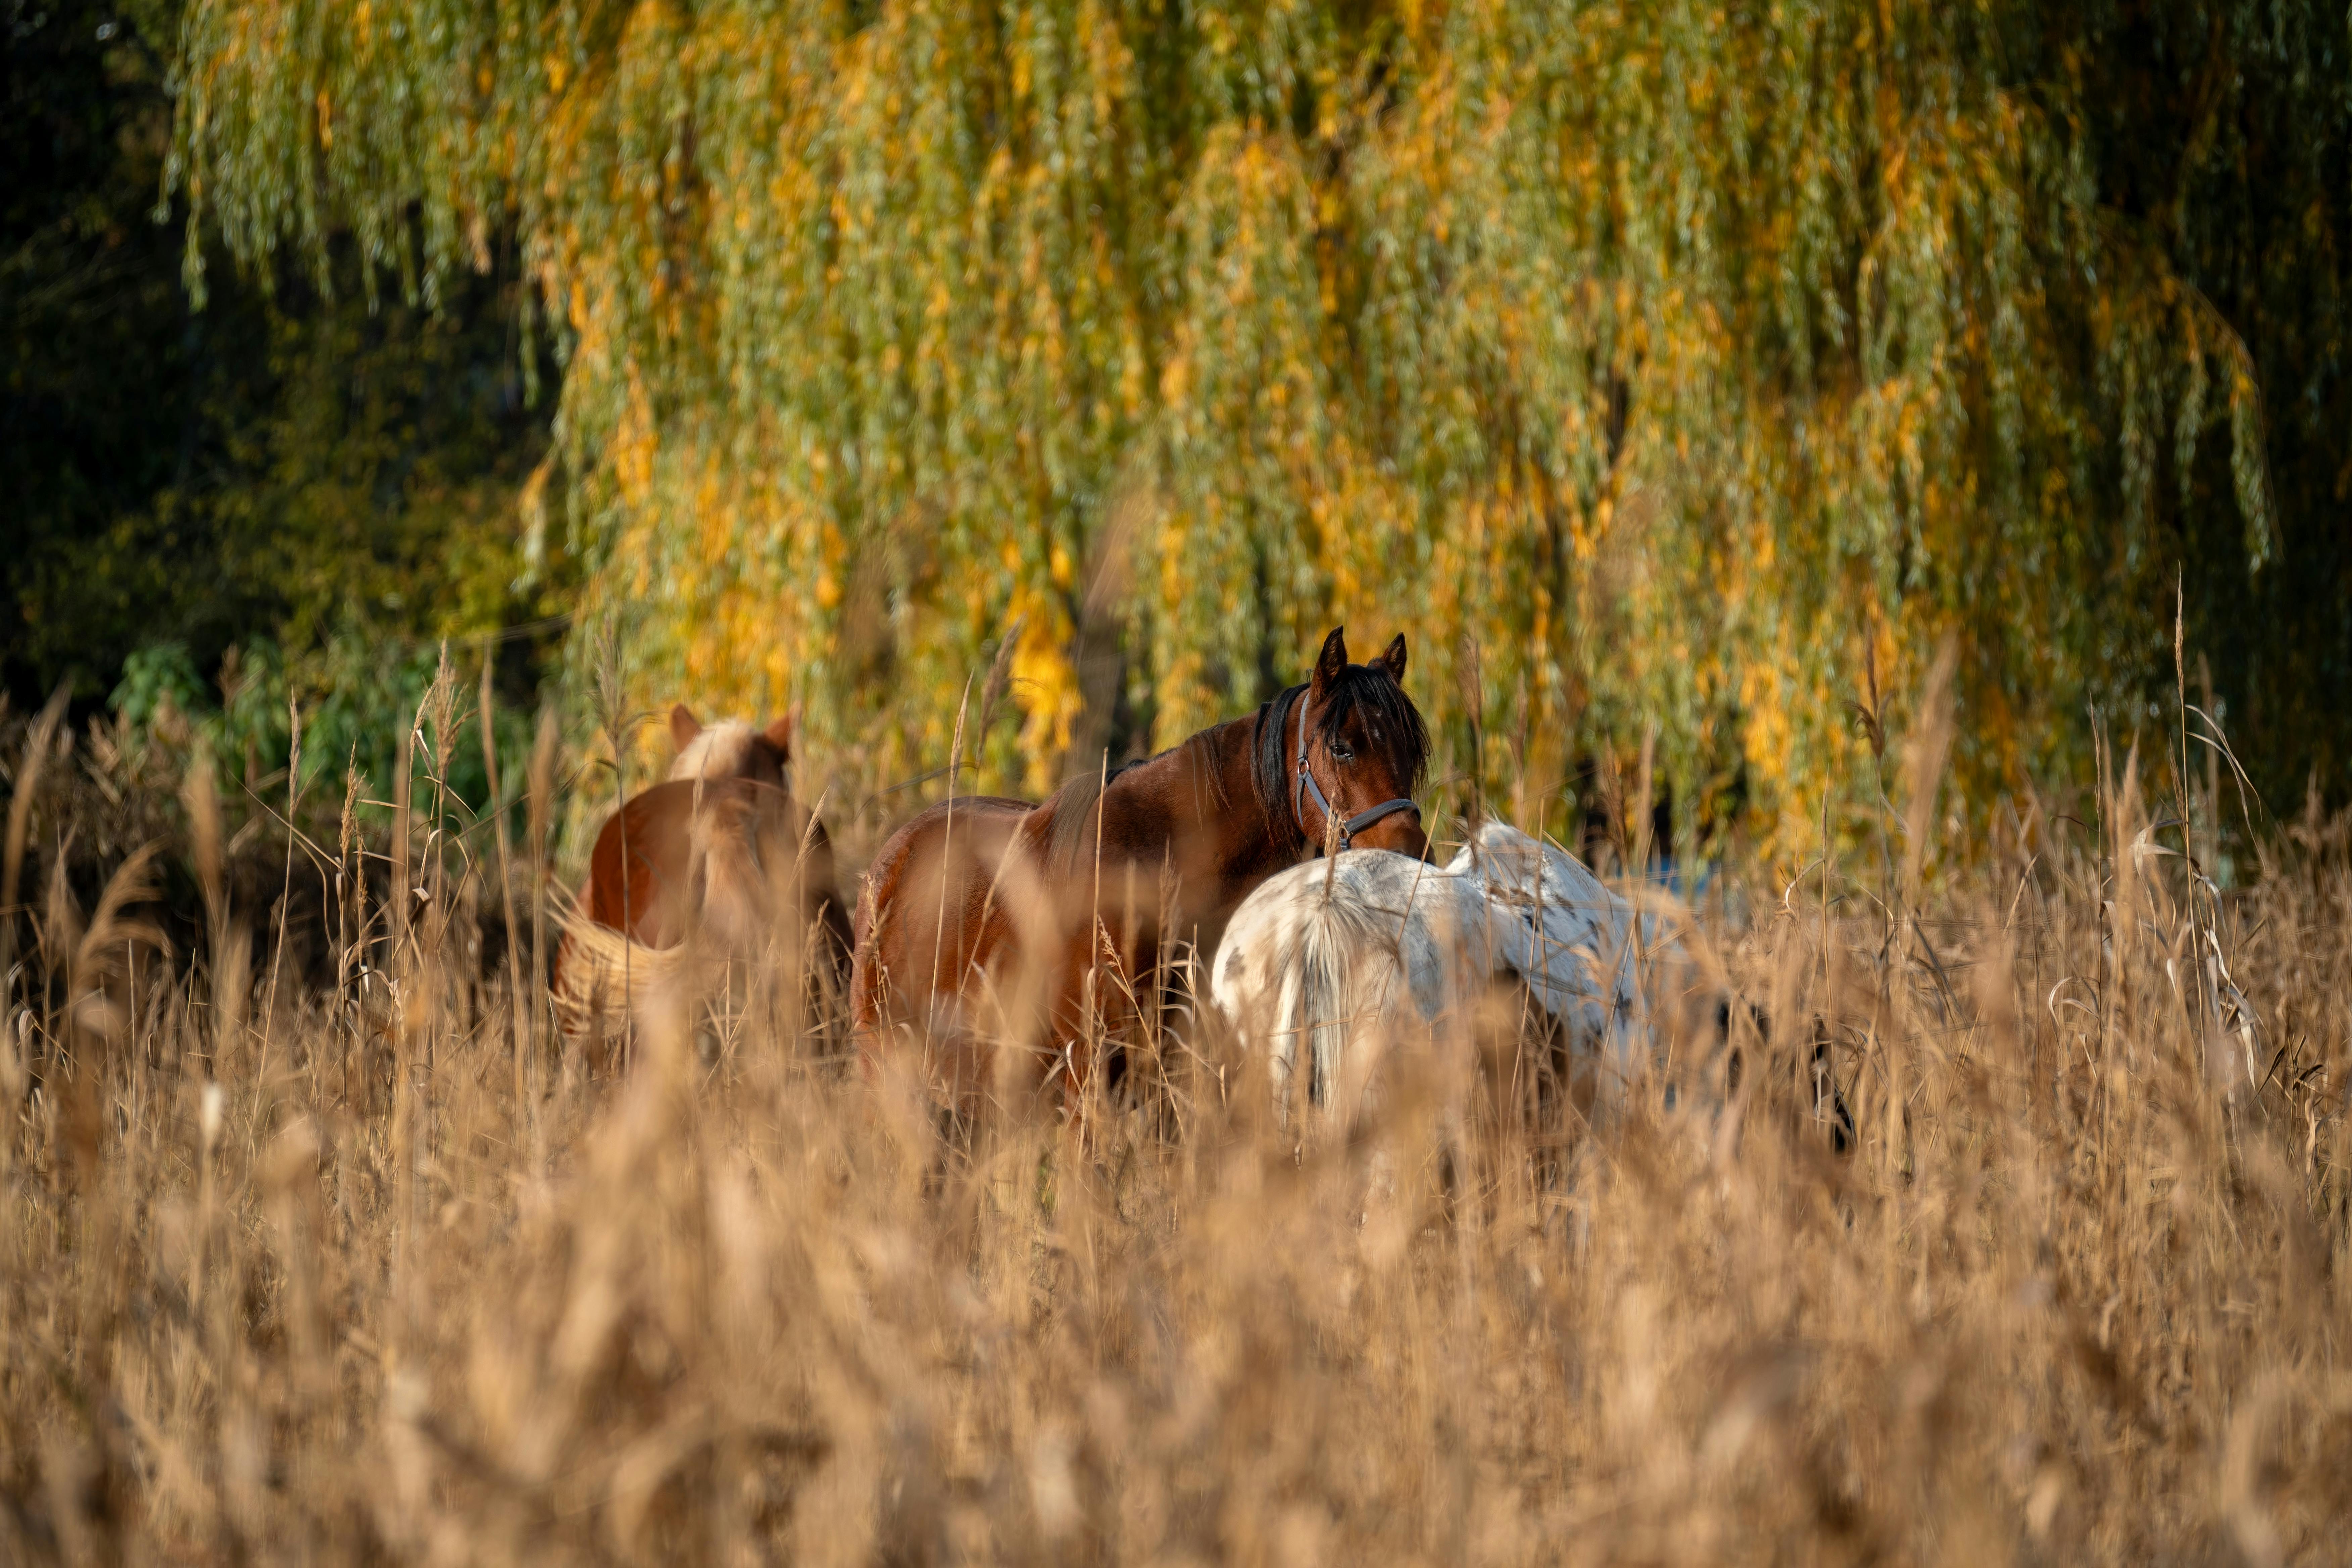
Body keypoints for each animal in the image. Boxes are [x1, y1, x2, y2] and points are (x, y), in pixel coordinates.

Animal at [850, 626, 1431, 1111]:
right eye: (1342, 747)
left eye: (1412, 753)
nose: (1411, 851)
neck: (1154, 869)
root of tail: (893, 858)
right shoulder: (1089, 1079)